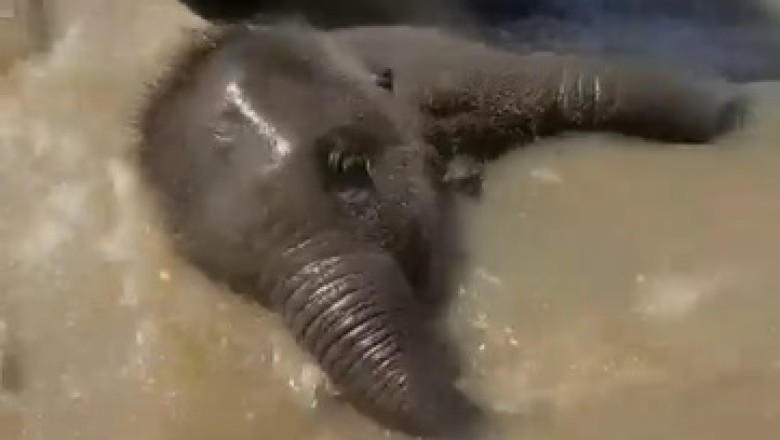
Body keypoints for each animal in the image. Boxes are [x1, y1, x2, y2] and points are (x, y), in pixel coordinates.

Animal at [136, 20, 744, 439]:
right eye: (234, 277)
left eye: (348, 166)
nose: (491, 413)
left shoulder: (449, 72)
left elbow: (581, 87)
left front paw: (729, 116)